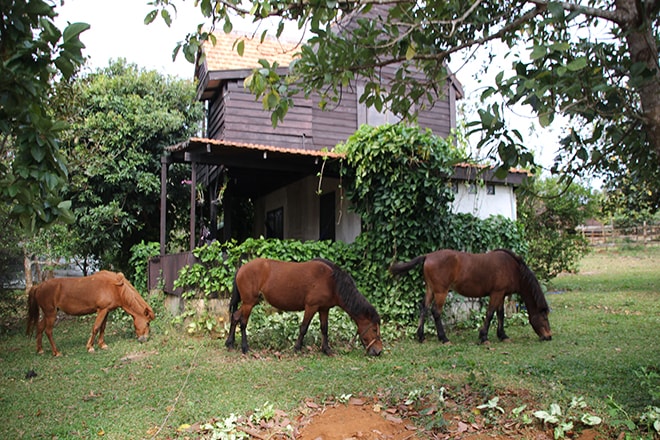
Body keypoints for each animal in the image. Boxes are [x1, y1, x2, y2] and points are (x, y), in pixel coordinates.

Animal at [26, 270, 155, 356]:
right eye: (147, 323)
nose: (144, 339)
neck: (116, 288)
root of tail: (38, 287)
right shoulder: (101, 310)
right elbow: (96, 327)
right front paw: (90, 347)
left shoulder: (106, 311)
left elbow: (102, 327)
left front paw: (102, 345)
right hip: (51, 314)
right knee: (48, 331)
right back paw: (56, 352)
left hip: (48, 314)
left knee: (40, 327)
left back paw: (40, 350)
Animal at [226, 258, 382, 358]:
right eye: (374, 329)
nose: (379, 351)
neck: (331, 281)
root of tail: (241, 268)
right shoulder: (311, 307)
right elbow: (303, 328)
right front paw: (297, 348)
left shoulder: (324, 309)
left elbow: (324, 329)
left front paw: (326, 350)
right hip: (249, 302)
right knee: (243, 322)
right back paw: (245, 347)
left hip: (251, 302)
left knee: (235, 317)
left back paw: (230, 343)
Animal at [390, 248, 548, 344]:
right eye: (545, 318)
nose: (549, 336)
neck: (512, 268)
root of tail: (428, 256)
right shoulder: (496, 293)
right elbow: (490, 313)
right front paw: (483, 337)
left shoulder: (501, 294)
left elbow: (500, 314)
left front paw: (503, 335)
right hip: (441, 292)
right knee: (436, 311)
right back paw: (444, 338)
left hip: (430, 289)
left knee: (424, 308)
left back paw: (421, 336)